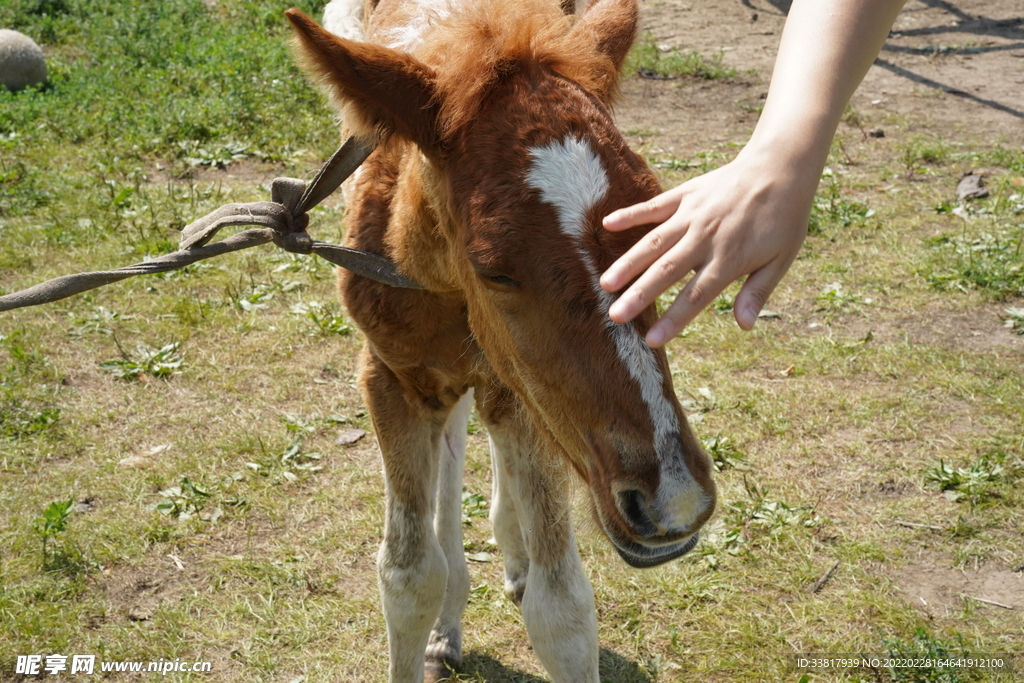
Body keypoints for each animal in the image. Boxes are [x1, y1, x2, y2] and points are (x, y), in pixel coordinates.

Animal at [284, 0, 716, 679]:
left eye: (658, 227)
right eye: (494, 270)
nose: (674, 501)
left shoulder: (522, 392)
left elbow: (561, 607)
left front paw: (523, 565)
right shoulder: (389, 376)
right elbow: (407, 576)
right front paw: (437, 612)